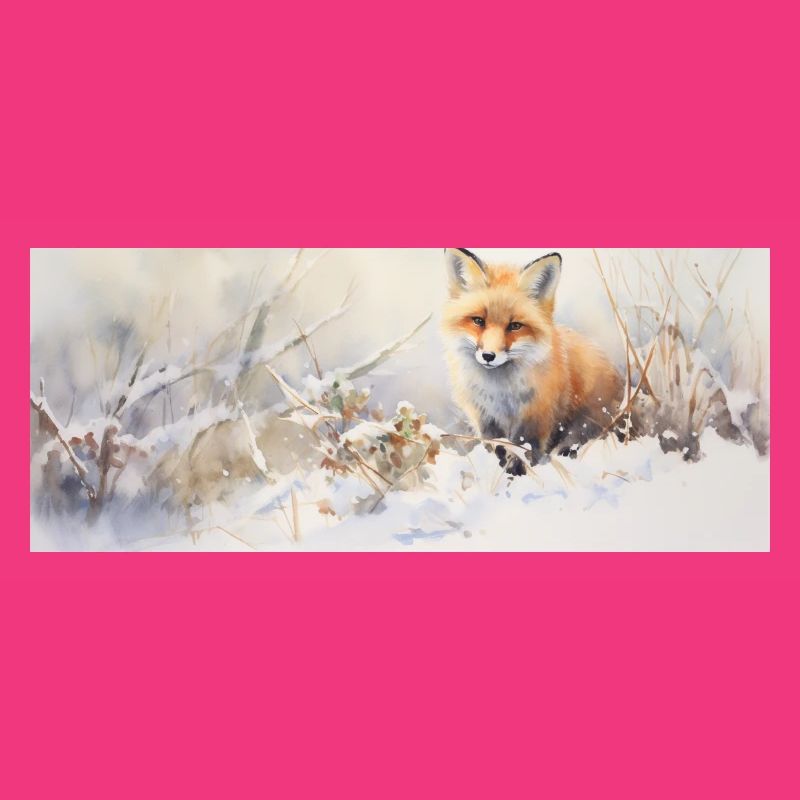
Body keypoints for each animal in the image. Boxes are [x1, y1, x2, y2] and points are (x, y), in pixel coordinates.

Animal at [442, 248, 624, 474]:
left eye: (515, 326)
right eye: (478, 321)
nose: (488, 356)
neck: (500, 393)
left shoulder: (536, 421)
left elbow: (525, 454)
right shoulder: (485, 421)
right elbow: (497, 450)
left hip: (583, 426)